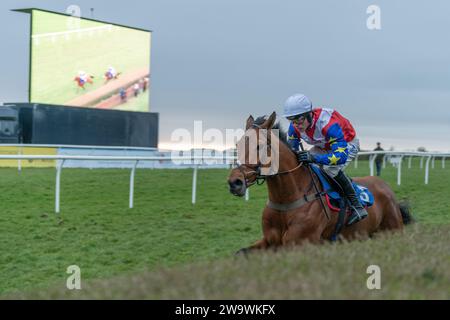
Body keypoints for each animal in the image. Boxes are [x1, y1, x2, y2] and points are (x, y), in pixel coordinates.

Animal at [227, 111, 414, 254]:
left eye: (259, 146)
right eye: (238, 144)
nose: (235, 182)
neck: (287, 198)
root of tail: (385, 186)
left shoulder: (298, 244)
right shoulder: (269, 241)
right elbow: (240, 253)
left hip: (394, 229)